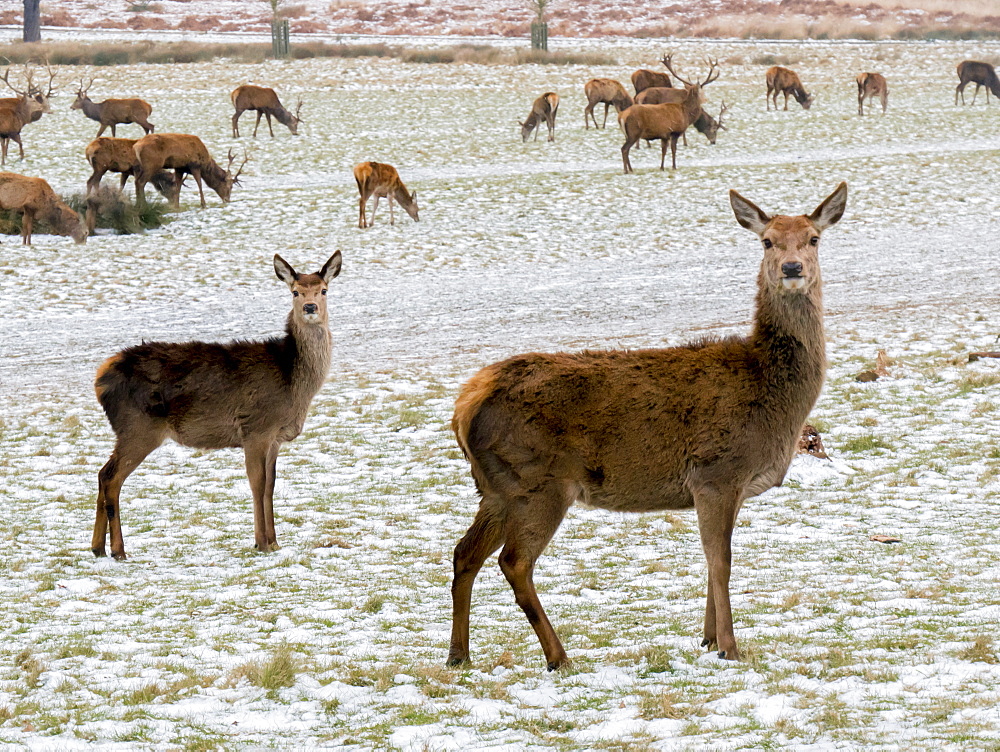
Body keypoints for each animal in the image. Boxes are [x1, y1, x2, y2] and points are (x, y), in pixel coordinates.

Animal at [94, 251, 344, 560]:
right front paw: (261, 542)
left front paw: (274, 542)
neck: (293, 382)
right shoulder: (255, 428)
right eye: (295, 291)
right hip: (138, 427)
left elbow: (271, 486)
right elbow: (257, 483)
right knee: (111, 478)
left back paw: (97, 548)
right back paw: (118, 550)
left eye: (324, 290)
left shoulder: (275, 437)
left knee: (101, 473)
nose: (310, 307)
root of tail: (100, 379)